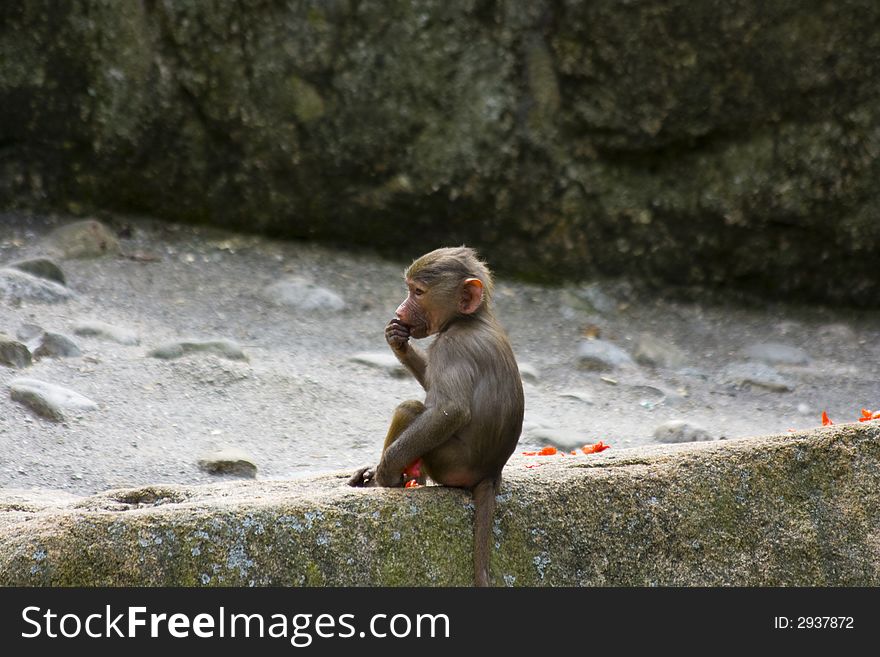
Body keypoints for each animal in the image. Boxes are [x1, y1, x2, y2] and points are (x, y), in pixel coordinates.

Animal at [348, 245, 524, 584]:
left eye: (418, 292)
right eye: (409, 290)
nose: (400, 310)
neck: (469, 319)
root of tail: (490, 473)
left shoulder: (451, 346)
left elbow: (450, 410)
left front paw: (384, 475)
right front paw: (398, 342)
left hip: (448, 463)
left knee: (411, 410)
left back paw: (385, 481)